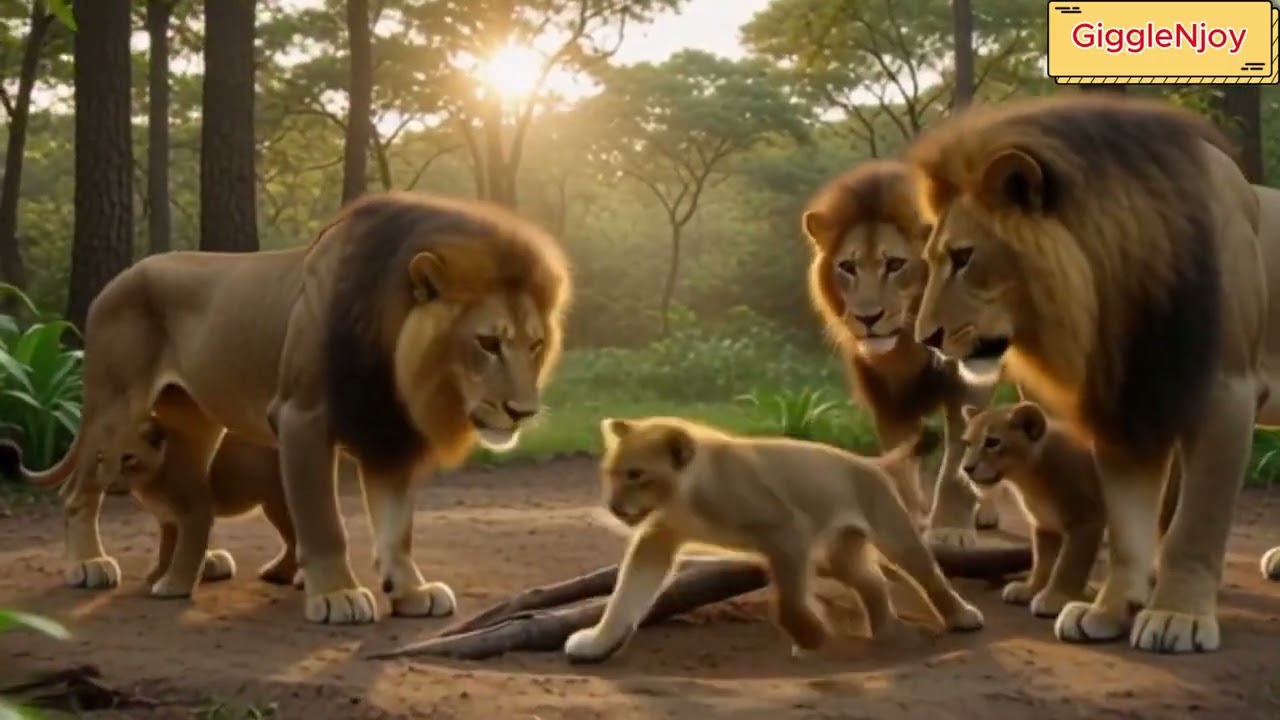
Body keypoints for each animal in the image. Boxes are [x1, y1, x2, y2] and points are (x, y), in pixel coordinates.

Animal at [0, 191, 571, 625]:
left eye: (536, 345)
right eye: (488, 343)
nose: (523, 411)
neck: (391, 353)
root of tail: (114, 281)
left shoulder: (386, 433)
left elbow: (397, 527)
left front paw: (411, 592)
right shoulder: (302, 417)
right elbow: (323, 519)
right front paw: (337, 594)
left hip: (194, 422)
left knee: (187, 492)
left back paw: (198, 563)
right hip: (113, 407)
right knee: (79, 491)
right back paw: (89, 564)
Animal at [563, 415, 984, 664]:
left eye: (635, 475)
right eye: (610, 473)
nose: (613, 506)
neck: (685, 494)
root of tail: (870, 461)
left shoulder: (787, 532)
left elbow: (788, 603)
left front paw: (812, 637)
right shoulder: (657, 539)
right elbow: (625, 596)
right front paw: (597, 642)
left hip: (892, 534)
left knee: (928, 574)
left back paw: (963, 616)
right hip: (836, 555)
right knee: (873, 583)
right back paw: (887, 632)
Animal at [801, 159, 1003, 545]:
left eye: (895, 264)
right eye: (847, 267)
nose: (868, 318)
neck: (907, 343)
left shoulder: (965, 380)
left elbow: (956, 462)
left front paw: (950, 529)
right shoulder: (884, 392)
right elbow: (899, 462)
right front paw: (907, 518)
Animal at [959, 401, 1103, 618]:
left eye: (992, 442)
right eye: (968, 443)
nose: (967, 468)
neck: (1028, 479)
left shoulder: (1086, 521)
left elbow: (1067, 565)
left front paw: (1053, 599)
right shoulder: (1044, 523)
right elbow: (1042, 562)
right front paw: (1030, 589)